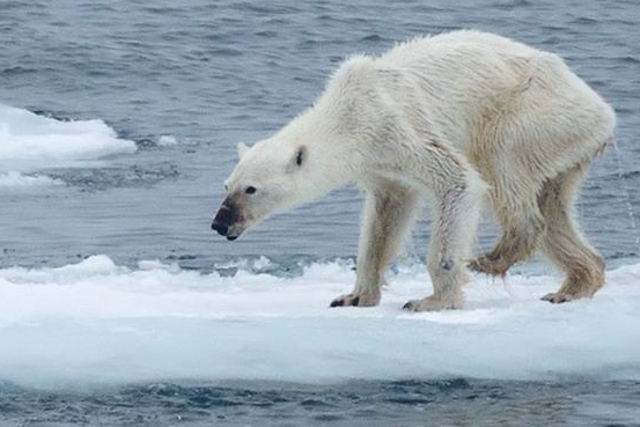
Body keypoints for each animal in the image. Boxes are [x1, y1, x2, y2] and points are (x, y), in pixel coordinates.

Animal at [212, 29, 616, 310]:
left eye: (251, 189)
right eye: (226, 185)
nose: (219, 223)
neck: (348, 113)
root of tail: (603, 110)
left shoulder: (397, 126)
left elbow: (458, 181)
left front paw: (432, 300)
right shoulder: (380, 164)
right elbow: (385, 216)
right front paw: (354, 296)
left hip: (534, 113)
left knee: (502, 162)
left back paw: (491, 258)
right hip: (564, 144)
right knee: (554, 207)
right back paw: (573, 285)